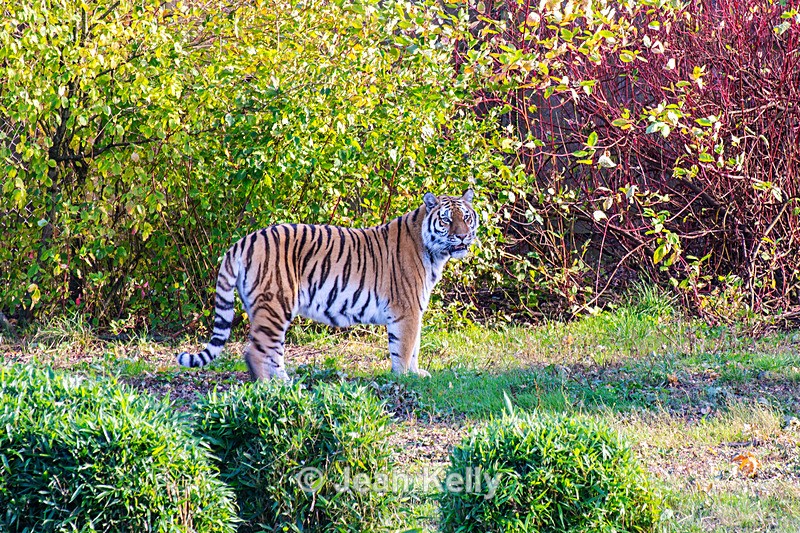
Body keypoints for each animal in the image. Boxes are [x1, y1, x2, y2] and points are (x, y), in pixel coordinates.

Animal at [176, 190, 478, 380]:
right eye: (446, 220)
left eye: (466, 217)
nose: (463, 237)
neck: (434, 253)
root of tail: (243, 241)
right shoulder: (407, 309)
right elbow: (405, 346)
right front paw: (405, 376)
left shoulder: (415, 310)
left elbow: (414, 346)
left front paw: (415, 373)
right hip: (276, 303)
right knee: (256, 352)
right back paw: (277, 386)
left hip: (263, 308)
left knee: (269, 350)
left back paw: (284, 382)